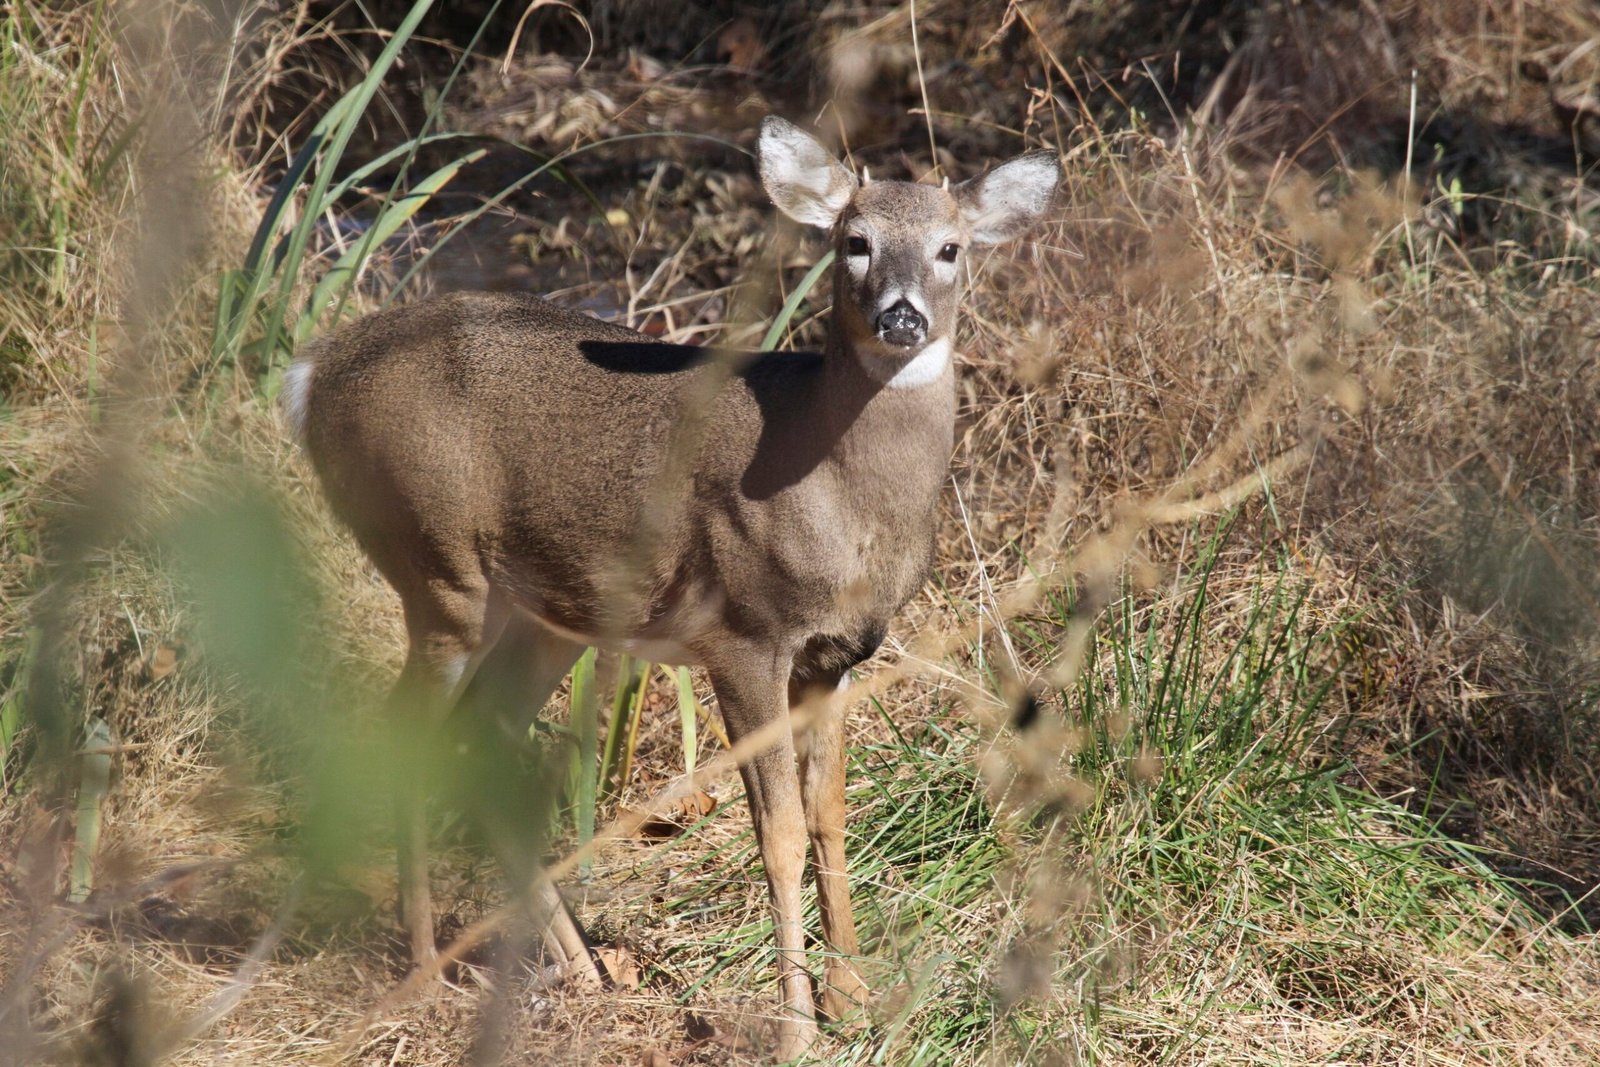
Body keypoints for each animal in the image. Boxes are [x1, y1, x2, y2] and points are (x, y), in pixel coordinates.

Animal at [281, 116, 1058, 1060]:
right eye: (855, 241)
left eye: (951, 248)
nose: (900, 313)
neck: (840, 493)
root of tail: (310, 375)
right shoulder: (746, 635)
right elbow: (778, 832)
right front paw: (797, 1023)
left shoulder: (834, 654)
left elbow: (830, 812)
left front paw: (854, 993)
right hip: (436, 565)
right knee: (405, 730)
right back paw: (424, 965)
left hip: (546, 613)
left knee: (482, 733)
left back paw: (582, 968)